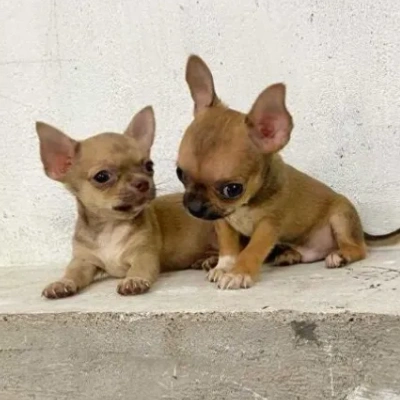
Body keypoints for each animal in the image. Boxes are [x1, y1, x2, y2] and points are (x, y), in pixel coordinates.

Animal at [36, 104, 216, 298]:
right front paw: (62, 282)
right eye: (102, 177)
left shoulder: (144, 255)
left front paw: (133, 280)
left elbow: (139, 269)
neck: (111, 227)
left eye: (149, 166)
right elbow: (72, 272)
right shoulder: (84, 261)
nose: (143, 182)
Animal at [178, 54, 400, 290]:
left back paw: (340, 255)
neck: (246, 205)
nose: (193, 206)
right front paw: (224, 266)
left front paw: (238, 272)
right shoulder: (223, 220)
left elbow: (252, 250)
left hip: (341, 217)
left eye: (232, 189)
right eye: (179, 174)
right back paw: (288, 255)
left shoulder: (267, 226)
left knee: (358, 248)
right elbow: (228, 247)